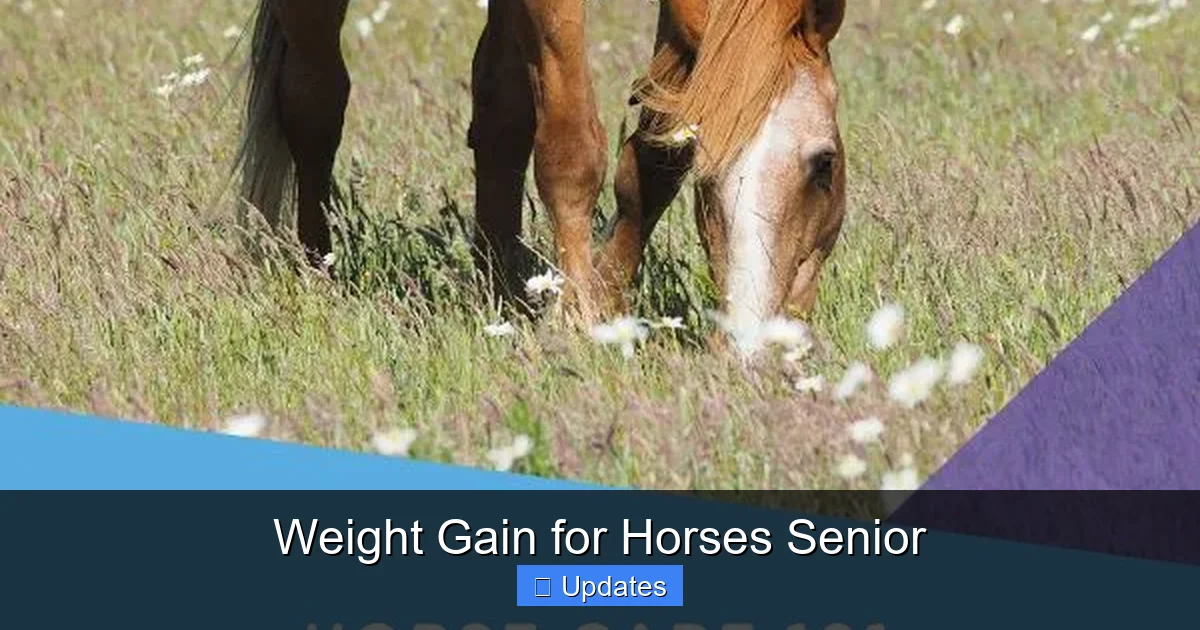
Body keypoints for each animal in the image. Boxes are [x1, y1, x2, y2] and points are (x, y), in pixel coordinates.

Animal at [234, 0, 847, 353]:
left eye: (825, 164)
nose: (756, 349)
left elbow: (655, 152)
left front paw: (604, 300)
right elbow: (572, 149)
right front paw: (578, 320)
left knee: (500, 107)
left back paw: (503, 286)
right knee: (315, 98)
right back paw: (318, 268)